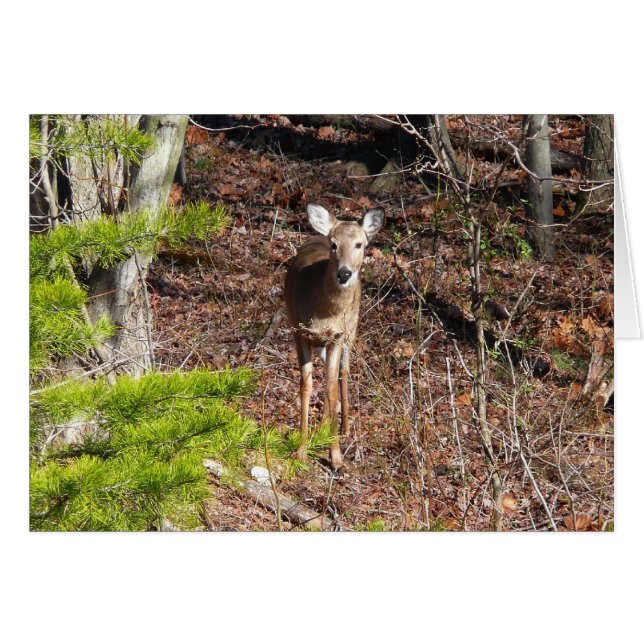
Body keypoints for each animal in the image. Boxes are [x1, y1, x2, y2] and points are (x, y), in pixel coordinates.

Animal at [284, 203, 384, 470]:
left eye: (360, 244)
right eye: (334, 244)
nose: (344, 273)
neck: (325, 313)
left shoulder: (337, 336)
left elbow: (329, 388)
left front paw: (336, 457)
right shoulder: (299, 330)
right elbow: (306, 386)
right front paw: (300, 450)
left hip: (352, 329)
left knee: (344, 372)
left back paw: (344, 427)